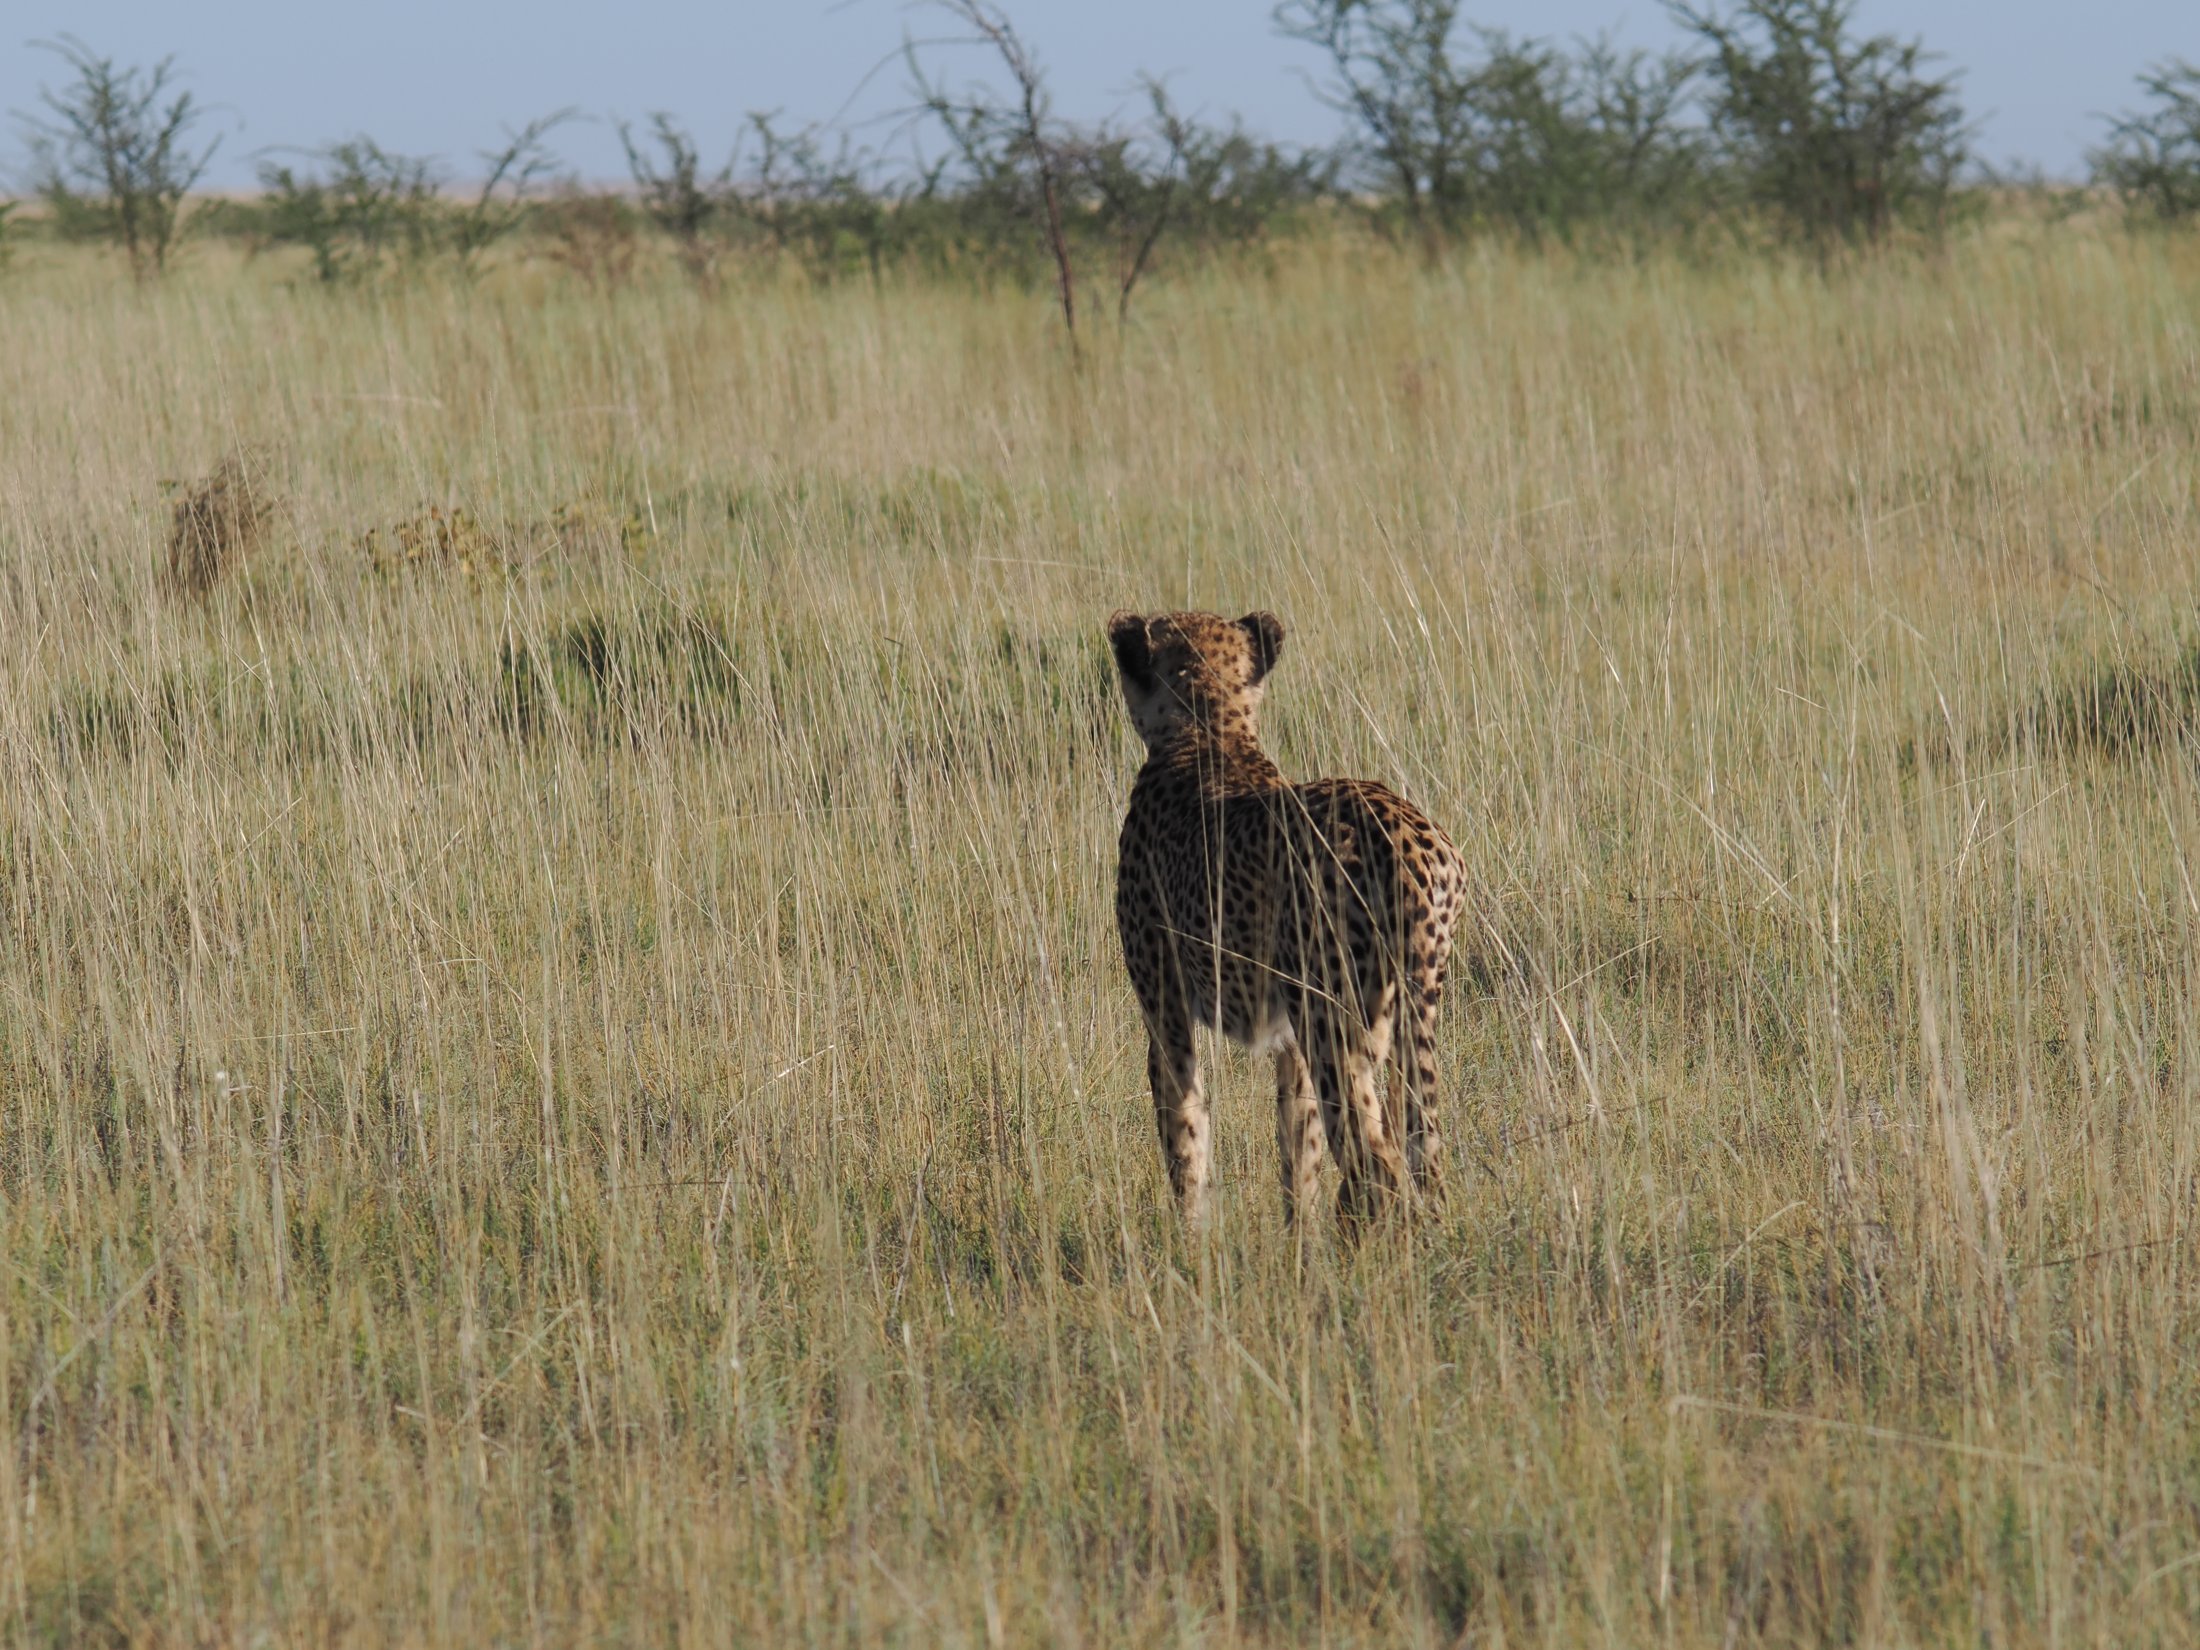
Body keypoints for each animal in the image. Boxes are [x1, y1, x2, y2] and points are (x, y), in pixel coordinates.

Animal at [1107, 608, 1465, 1232]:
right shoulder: (1291, 1041)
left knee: (1380, 1165)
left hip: (1335, 1019)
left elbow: (1184, 1135)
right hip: (1391, 1016)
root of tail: (1410, 838)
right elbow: (1299, 1155)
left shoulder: (1166, 1010)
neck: (1211, 731)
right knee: (1418, 1150)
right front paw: (1300, 1245)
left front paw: (1190, 1243)